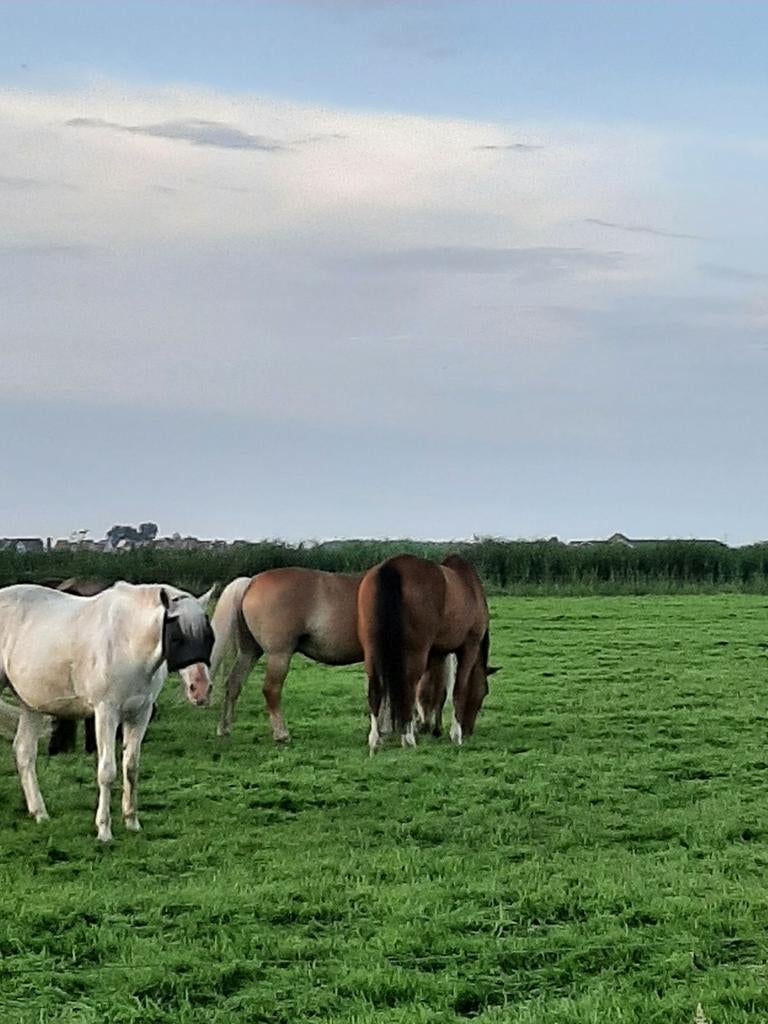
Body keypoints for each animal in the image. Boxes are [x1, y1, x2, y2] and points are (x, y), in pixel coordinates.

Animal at [0, 581, 215, 841]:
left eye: (208, 637)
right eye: (176, 638)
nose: (200, 689)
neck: (128, 642)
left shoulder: (140, 714)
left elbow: (131, 767)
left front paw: (132, 822)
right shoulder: (106, 713)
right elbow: (107, 771)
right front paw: (104, 830)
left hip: (31, 705)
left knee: (24, 752)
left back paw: (39, 813)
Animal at [211, 569, 364, 742]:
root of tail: (251, 582)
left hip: (249, 652)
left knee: (233, 684)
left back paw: (224, 728)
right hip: (279, 656)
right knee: (271, 690)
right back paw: (281, 734)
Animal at [357, 553, 498, 754]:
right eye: (484, 692)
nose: (468, 731)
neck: (470, 586)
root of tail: (391, 567)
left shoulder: (437, 653)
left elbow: (437, 691)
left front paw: (434, 729)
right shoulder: (468, 647)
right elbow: (458, 689)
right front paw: (455, 734)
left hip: (373, 650)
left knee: (376, 688)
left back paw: (375, 739)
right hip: (415, 653)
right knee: (408, 687)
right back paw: (408, 738)